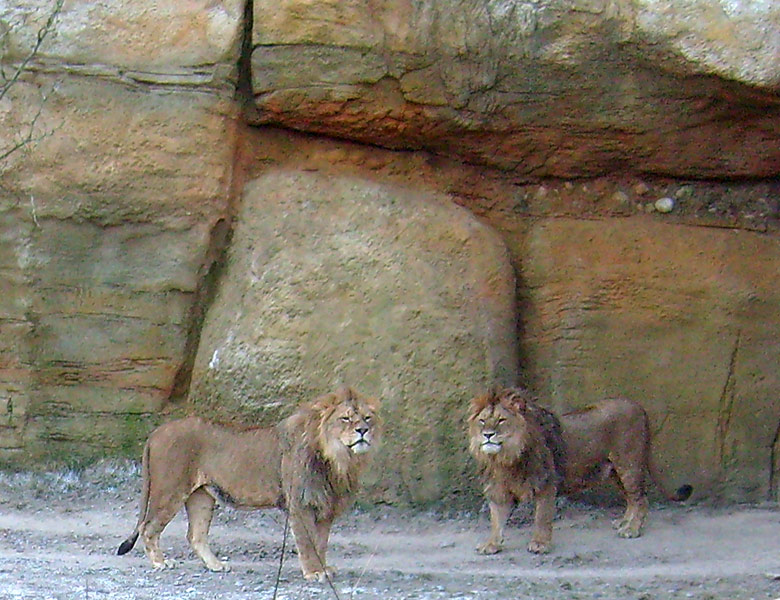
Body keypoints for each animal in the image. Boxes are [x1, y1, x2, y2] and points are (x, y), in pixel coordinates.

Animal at [116, 384, 380, 580]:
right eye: (346, 418)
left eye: (368, 418)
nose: (363, 430)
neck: (339, 458)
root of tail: (156, 432)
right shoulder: (301, 503)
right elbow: (308, 542)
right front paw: (314, 572)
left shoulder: (326, 505)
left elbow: (321, 542)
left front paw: (324, 568)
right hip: (171, 489)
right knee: (148, 527)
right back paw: (160, 563)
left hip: (201, 496)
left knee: (195, 535)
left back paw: (215, 565)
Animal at [466, 386, 692, 556]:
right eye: (483, 420)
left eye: (501, 420)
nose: (488, 434)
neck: (505, 458)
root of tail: (639, 407)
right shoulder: (499, 491)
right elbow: (496, 521)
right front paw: (491, 544)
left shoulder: (546, 484)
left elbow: (542, 517)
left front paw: (540, 544)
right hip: (615, 472)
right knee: (631, 500)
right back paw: (623, 522)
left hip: (629, 465)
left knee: (641, 499)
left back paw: (632, 529)